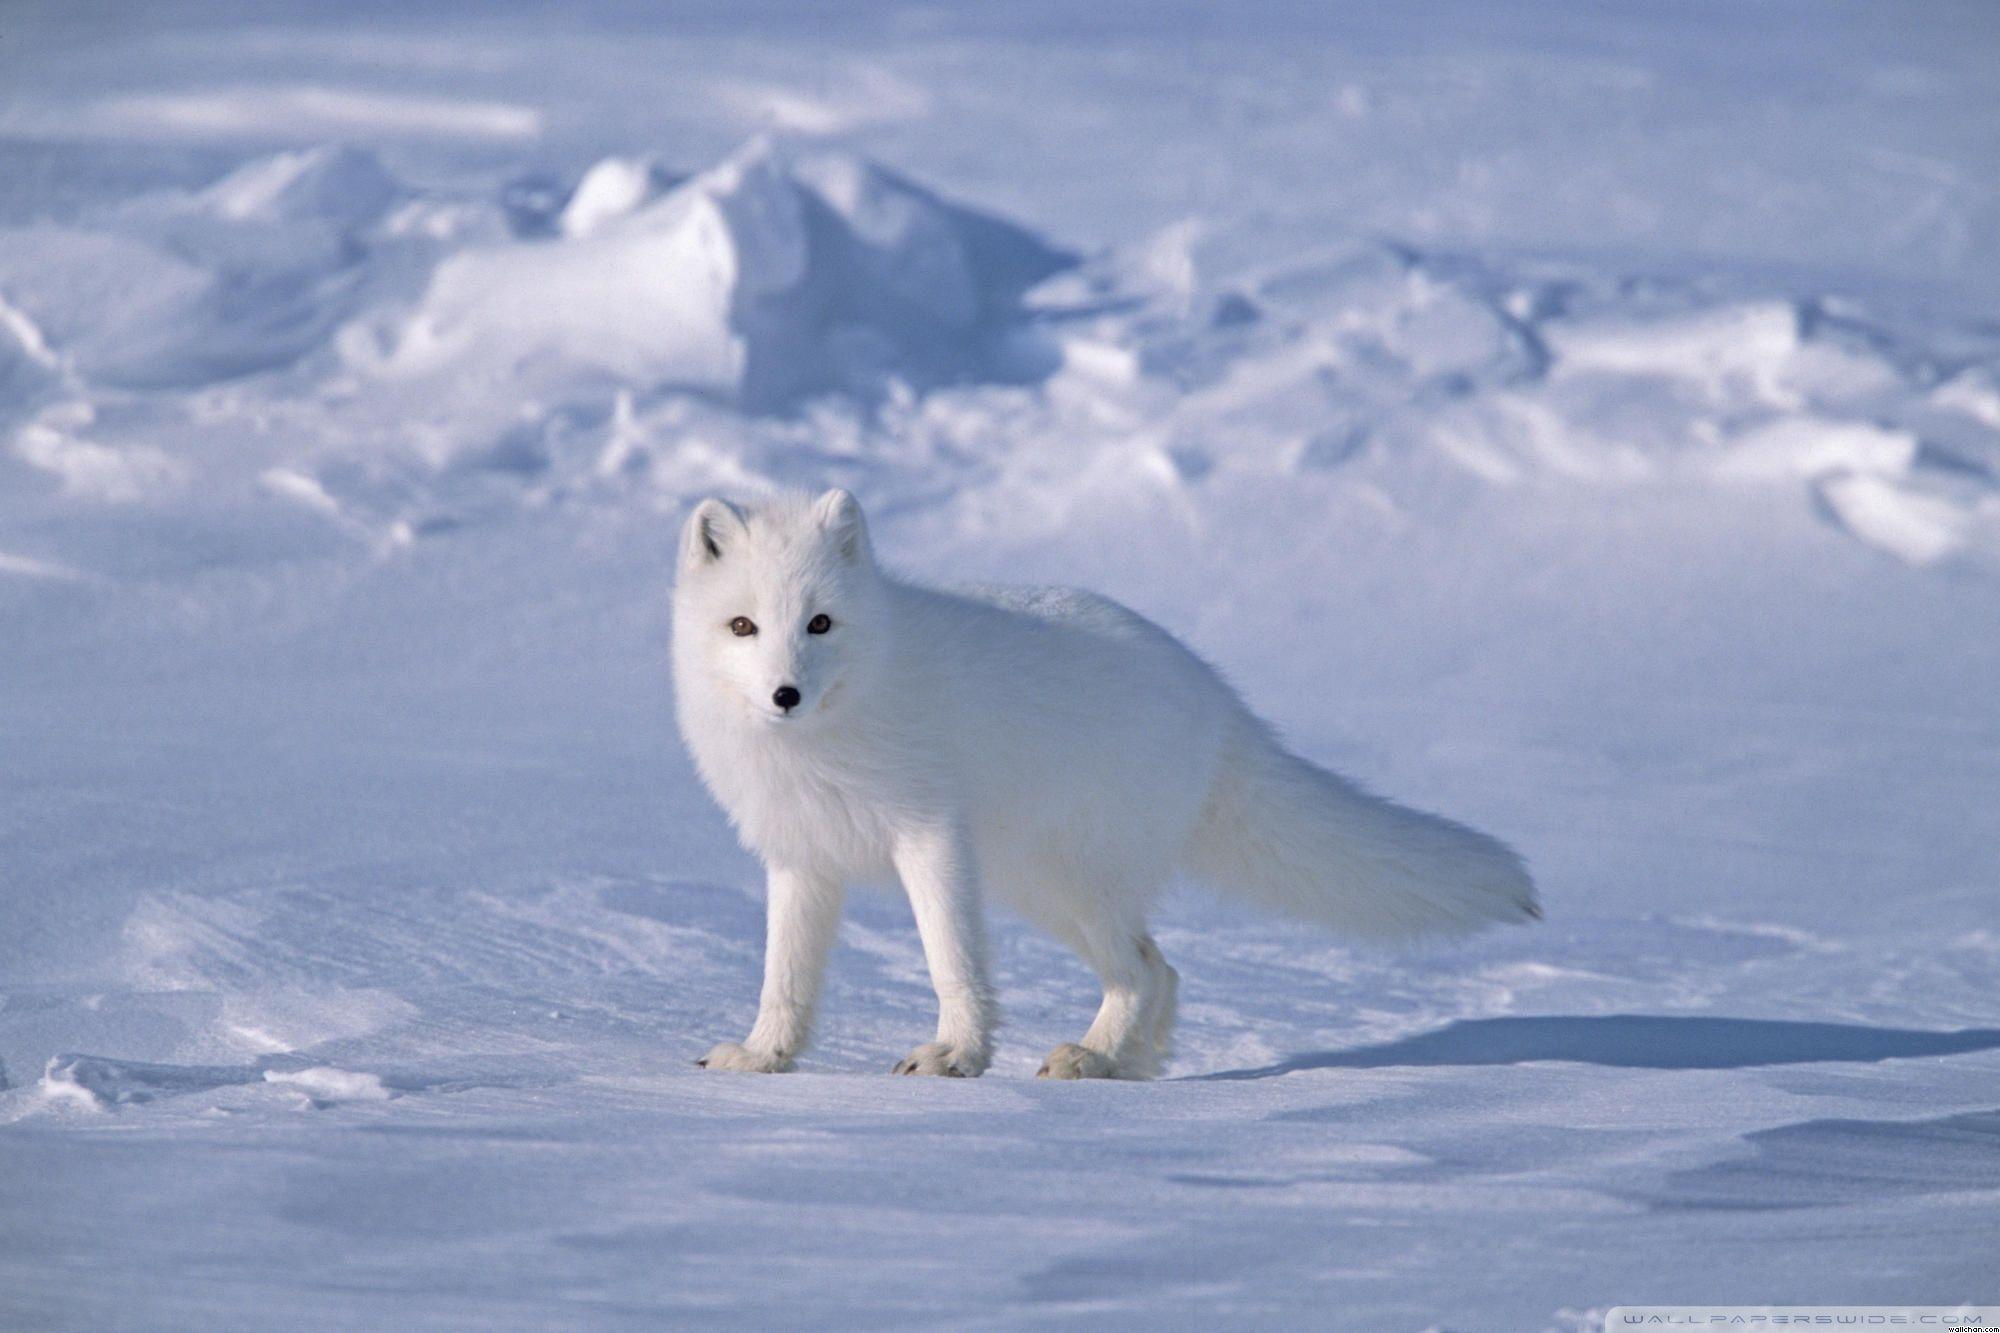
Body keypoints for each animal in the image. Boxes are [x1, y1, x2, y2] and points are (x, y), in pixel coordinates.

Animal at [674, 489, 1539, 1080]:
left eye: (820, 622)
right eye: (744, 626)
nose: (785, 693)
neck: (827, 735)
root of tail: (1218, 699)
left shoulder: (930, 835)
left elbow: (952, 959)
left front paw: (955, 1055)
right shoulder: (801, 857)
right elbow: (784, 977)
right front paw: (763, 1056)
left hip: (1069, 881)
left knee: (1145, 967)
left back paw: (1092, 1058)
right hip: (1042, 887)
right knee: (1162, 967)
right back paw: (1124, 1063)